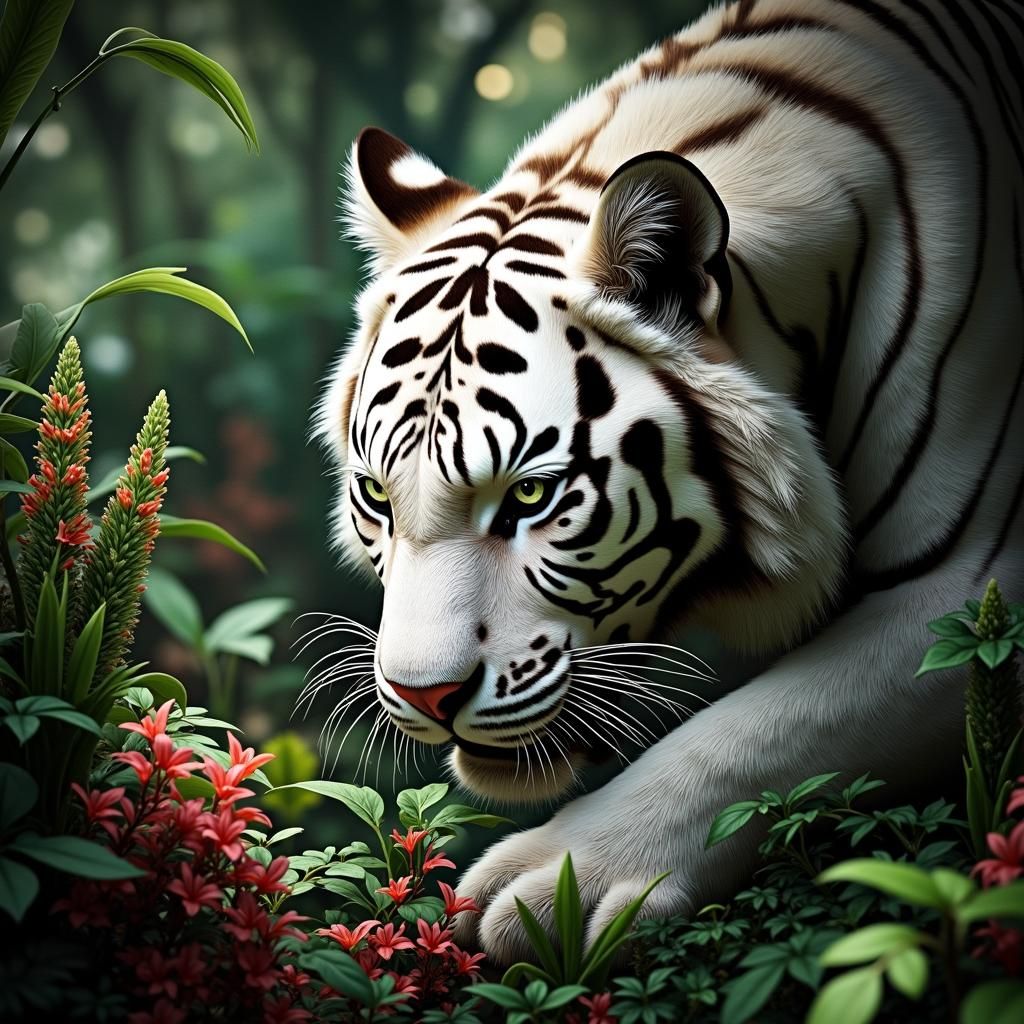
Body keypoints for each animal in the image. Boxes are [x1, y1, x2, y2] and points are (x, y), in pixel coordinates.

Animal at [316, 0, 1023, 963]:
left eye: (531, 496)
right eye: (379, 497)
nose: (423, 696)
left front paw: (555, 884)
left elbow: (770, 726)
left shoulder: (971, 598)